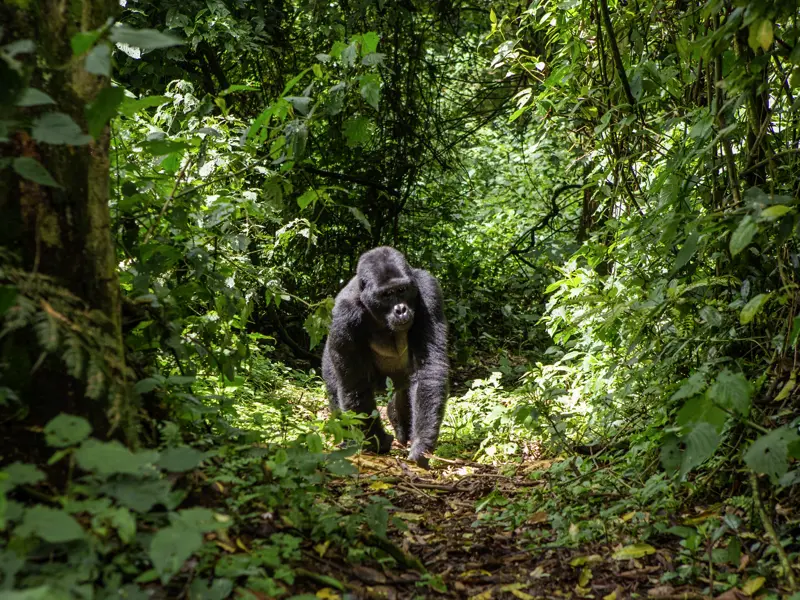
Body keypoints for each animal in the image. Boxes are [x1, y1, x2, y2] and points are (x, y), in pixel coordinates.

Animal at [324, 246, 450, 466]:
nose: (401, 310)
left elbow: (429, 369)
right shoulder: (344, 315)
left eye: (402, 290)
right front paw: (377, 442)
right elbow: (355, 385)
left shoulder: (428, 290)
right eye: (386, 295)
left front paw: (421, 444)